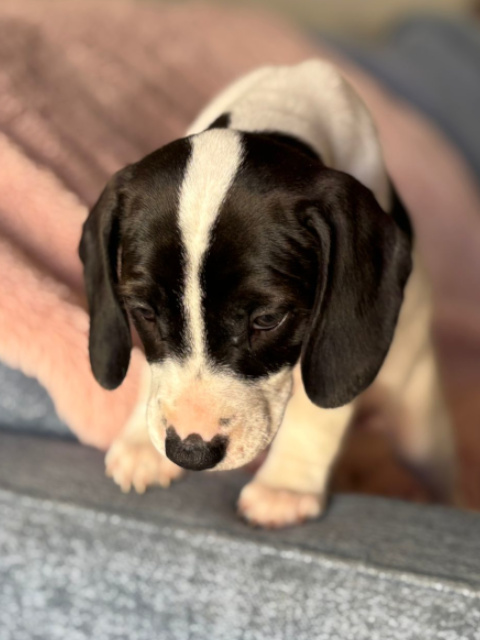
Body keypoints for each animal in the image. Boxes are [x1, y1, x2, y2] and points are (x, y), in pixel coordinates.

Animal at [80, 59, 455, 528]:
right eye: (144, 312)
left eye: (267, 320)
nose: (190, 452)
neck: (278, 111)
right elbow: (154, 374)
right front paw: (139, 442)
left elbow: (319, 405)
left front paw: (285, 486)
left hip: (420, 425)